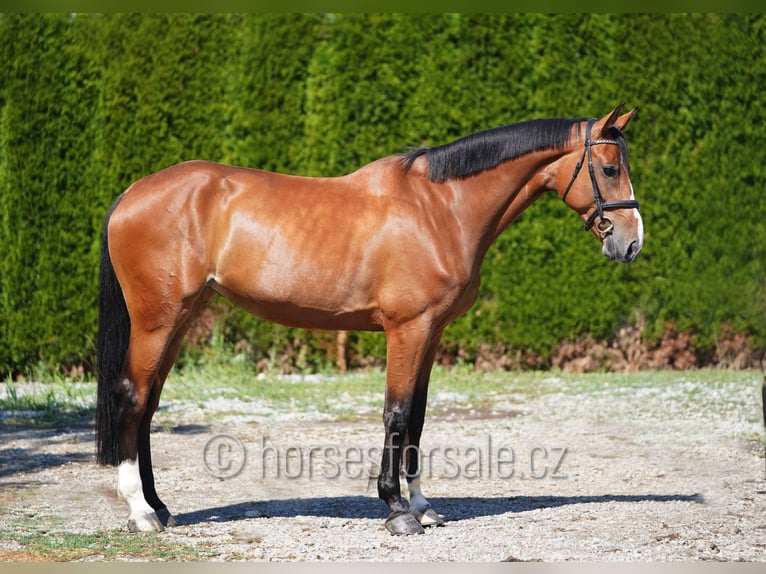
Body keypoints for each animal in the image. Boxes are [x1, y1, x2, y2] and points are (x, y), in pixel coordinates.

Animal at [96, 104, 643, 536]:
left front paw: (423, 507)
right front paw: (396, 509)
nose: (632, 242)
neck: (440, 208)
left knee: (149, 406)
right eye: (608, 168)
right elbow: (396, 414)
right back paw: (141, 513)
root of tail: (130, 194)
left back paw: (161, 508)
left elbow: (417, 417)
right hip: (157, 321)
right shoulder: (407, 329)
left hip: (178, 320)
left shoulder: (431, 332)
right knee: (132, 397)